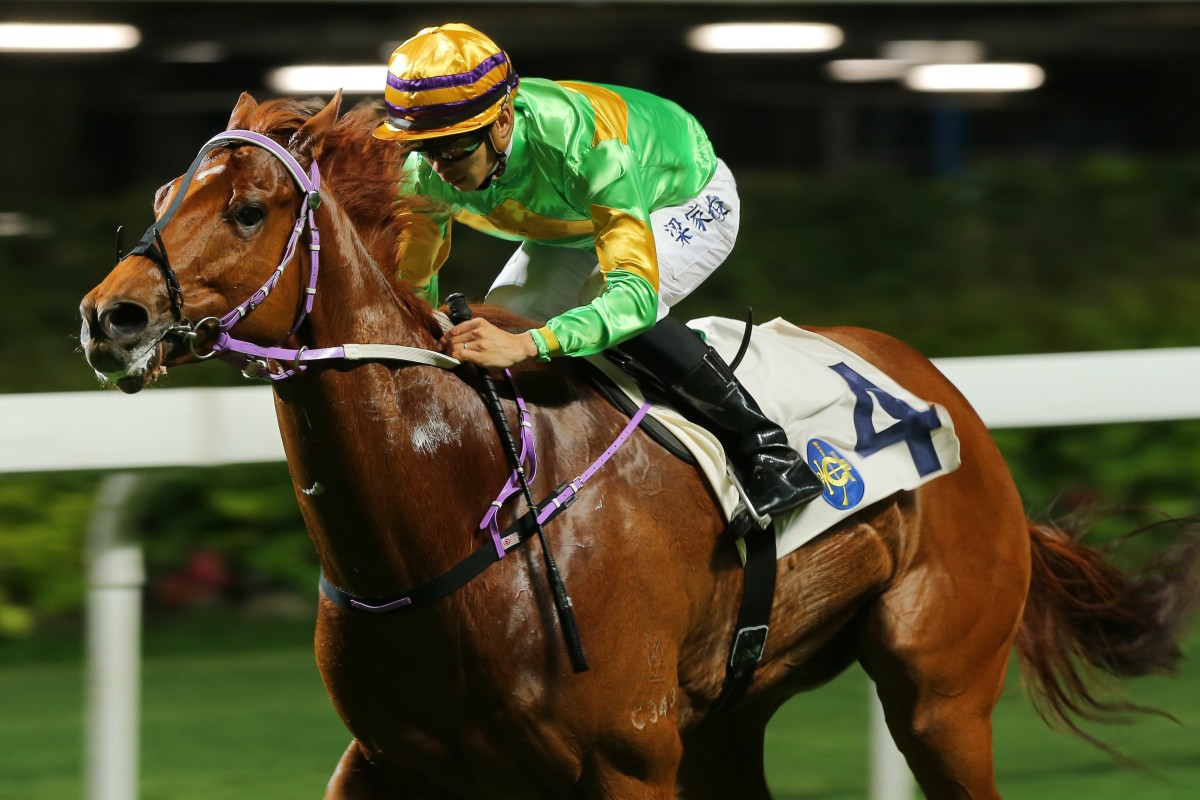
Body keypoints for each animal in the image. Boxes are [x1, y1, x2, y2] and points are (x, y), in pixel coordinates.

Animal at [79, 92, 1195, 796]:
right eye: (161, 201)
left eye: (248, 208)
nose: (111, 318)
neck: (454, 513)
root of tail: (945, 392)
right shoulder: (386, 759)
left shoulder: (629, 755)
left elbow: (628, 283)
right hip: (731, 719)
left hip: (939, 689)